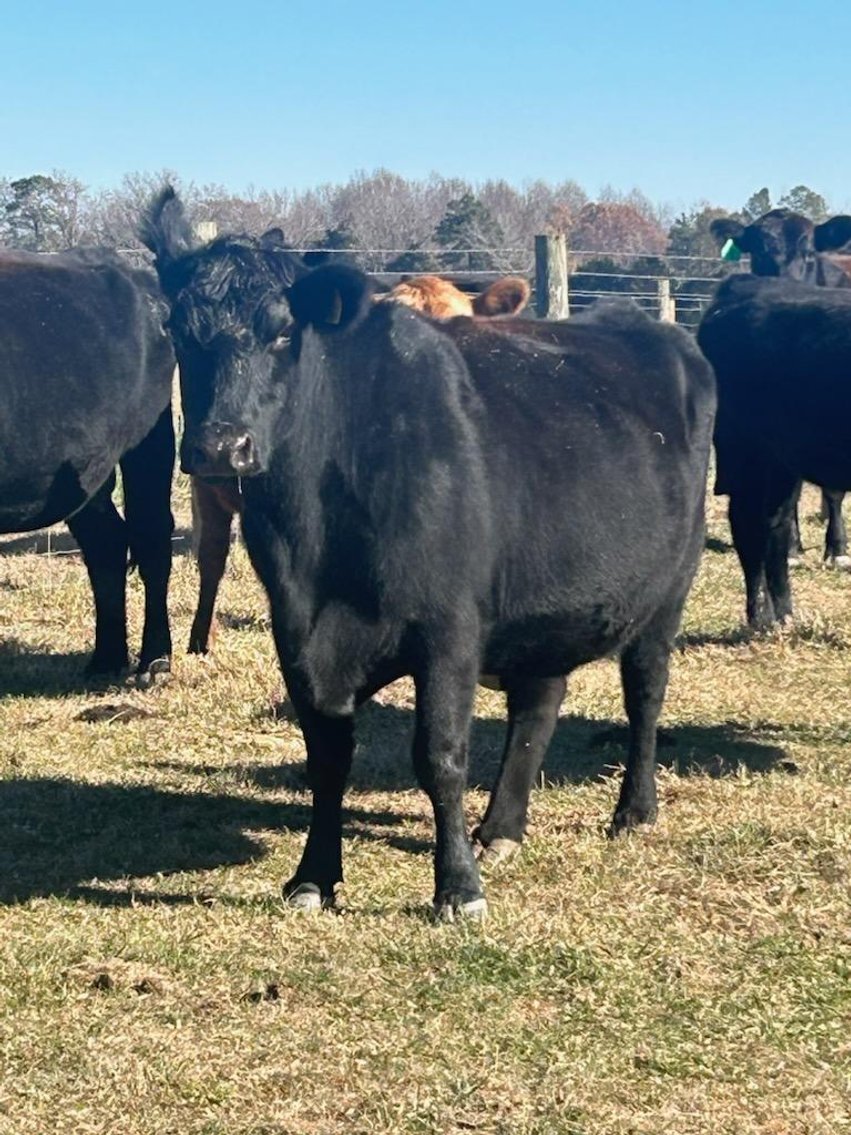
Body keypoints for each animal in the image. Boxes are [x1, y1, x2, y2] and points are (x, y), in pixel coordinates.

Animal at [0, 246, 175, 681]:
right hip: (85, 471)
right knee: (106, 543)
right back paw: (106, 659)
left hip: (149, 445)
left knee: (150, 537)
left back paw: (155, 660)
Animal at [142, 187, 716, 919]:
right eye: (181, 333)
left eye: (283, 332)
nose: (220, 446)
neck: (320, 541)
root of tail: (652, 329)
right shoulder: (296, 630)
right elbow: (326, 753)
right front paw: (313, 876)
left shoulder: (448, 628)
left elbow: (440, 755)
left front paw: (457, 888)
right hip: (543, 598)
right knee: (538, 703)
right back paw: (502, 828)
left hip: (666, 593)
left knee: (645, 692)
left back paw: (633, 811)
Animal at [698, 272, 851, 627]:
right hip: (745, 448)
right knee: (748, 521)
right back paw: (762, 617)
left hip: (782, 460)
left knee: (775, 524)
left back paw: (784, 614)